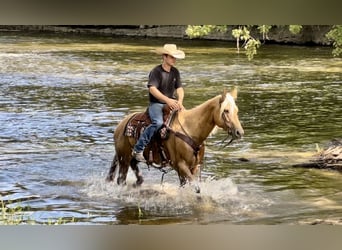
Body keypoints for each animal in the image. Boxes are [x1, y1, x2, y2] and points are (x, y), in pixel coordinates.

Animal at [107, 88, 243, 193]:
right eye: (226, 110)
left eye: (237, 110)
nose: (239, 132)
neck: (190, 129)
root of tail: (121, 125)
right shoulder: (180, 165)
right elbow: (196, 188)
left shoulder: (194, 166)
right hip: (123, 158)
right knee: (121, 179)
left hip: (131, 158)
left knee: (137, 175)